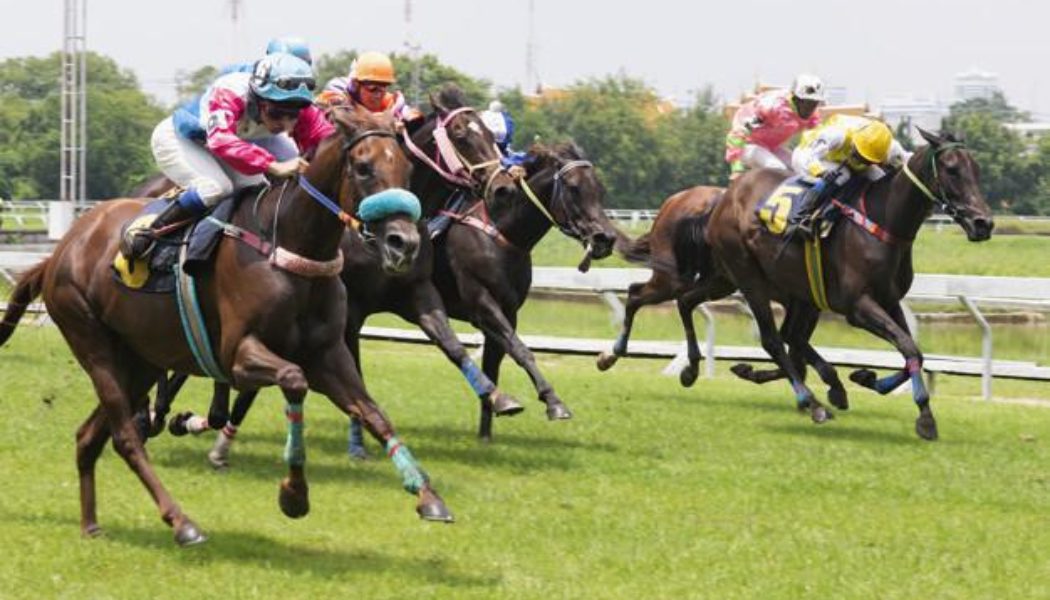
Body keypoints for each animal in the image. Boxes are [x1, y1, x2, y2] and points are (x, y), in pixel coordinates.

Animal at [0, 105, 454, 545]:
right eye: (362, 167)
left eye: (406, 169)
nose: (404, 243)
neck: (288, 245)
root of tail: (59, 251)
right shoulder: (239, 354)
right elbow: (293, 381)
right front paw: (294, 493)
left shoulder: (328, 355)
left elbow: (375, 413)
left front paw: (428, 495)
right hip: (91, 341)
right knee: (125, 437)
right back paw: (182, 523)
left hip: (140, 358)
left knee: (89, 436)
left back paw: (91, 525)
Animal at [705, 128, 994, 440]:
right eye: (952, 169)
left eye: (977, 169)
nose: (984, 224)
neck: (884, 220)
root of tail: (727, 196)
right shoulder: (859, 306)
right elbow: (908, 346)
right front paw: (926, 419)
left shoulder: (890, 301)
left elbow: (913, 351)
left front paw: (867, 377)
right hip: (749, 277)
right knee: (773, 340)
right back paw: (813, 404)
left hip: (803, 293)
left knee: (792, 338)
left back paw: (826, 386)